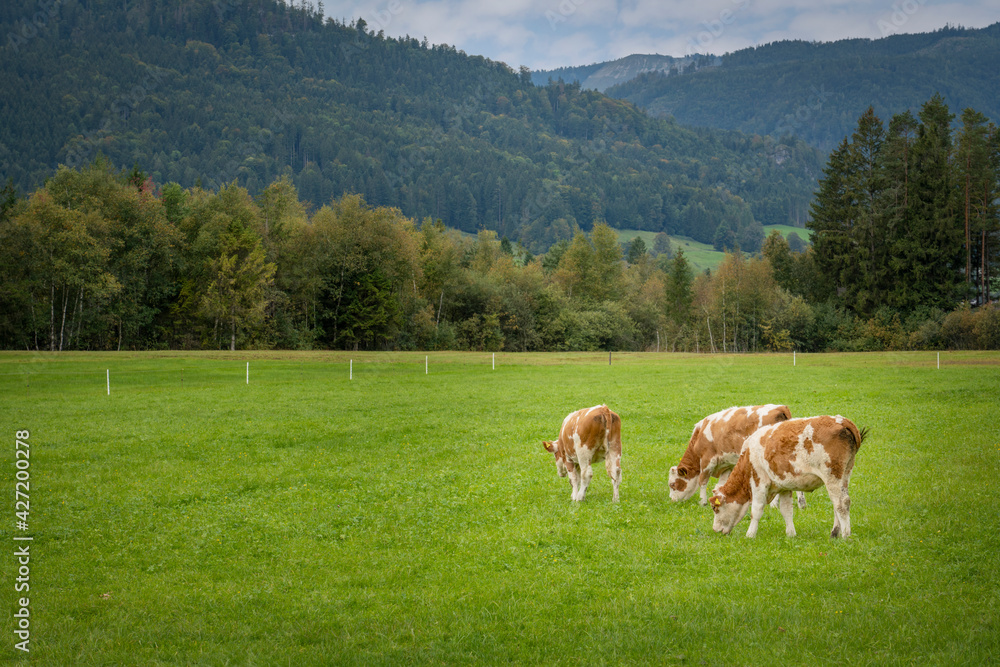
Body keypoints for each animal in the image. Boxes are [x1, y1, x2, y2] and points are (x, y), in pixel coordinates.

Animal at [668, 404, 808, 508]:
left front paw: (702, 502)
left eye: (673, 485)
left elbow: (702, 481)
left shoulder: (707, 460)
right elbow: (720, 484)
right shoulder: (726, 465)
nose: (672, 501)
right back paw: (800, 504)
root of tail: (780, 408)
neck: (699, 434)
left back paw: (775, 504)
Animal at [712, 414, 868, 540]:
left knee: (841, 503)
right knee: (838, 504)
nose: (715, 530)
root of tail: (841, 421)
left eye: (715, 508)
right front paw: (791, 534)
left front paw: (750, 535)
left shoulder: (759, 481)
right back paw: (834, 533)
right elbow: (786, 510)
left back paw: (845, 535)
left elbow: (756, 510)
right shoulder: (783, 486)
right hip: (845, 475)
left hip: (832, 477)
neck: (747, 456)